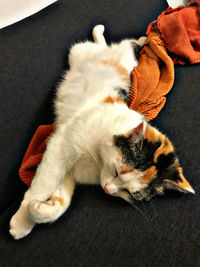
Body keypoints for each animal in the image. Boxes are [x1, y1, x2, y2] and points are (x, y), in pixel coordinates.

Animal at [9, 25, 194, 240]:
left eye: (129, 193)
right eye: (117, 172)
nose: (108, 190)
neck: (97, 158)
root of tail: (116, 52)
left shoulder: (69, 169)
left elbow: (61, 200)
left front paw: (40, 210)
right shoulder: (59, 148)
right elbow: (43, 185)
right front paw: (22, 221)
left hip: (123, 62)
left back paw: (139, 39)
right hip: (79, 53)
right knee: (101, 44)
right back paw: (112, 33)